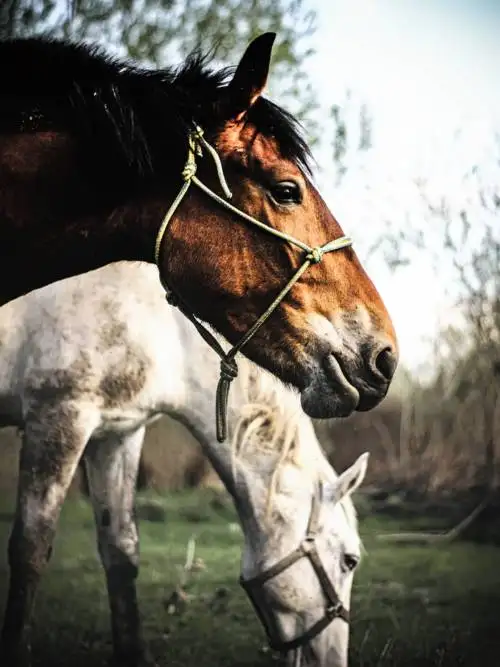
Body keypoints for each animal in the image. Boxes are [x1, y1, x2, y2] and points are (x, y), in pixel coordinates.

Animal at [0, 261, 368, 667]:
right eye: (349, 560)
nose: (335, 660)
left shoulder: (117, 434)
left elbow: (121, 550)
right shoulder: (59, 416)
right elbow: (30, 550)